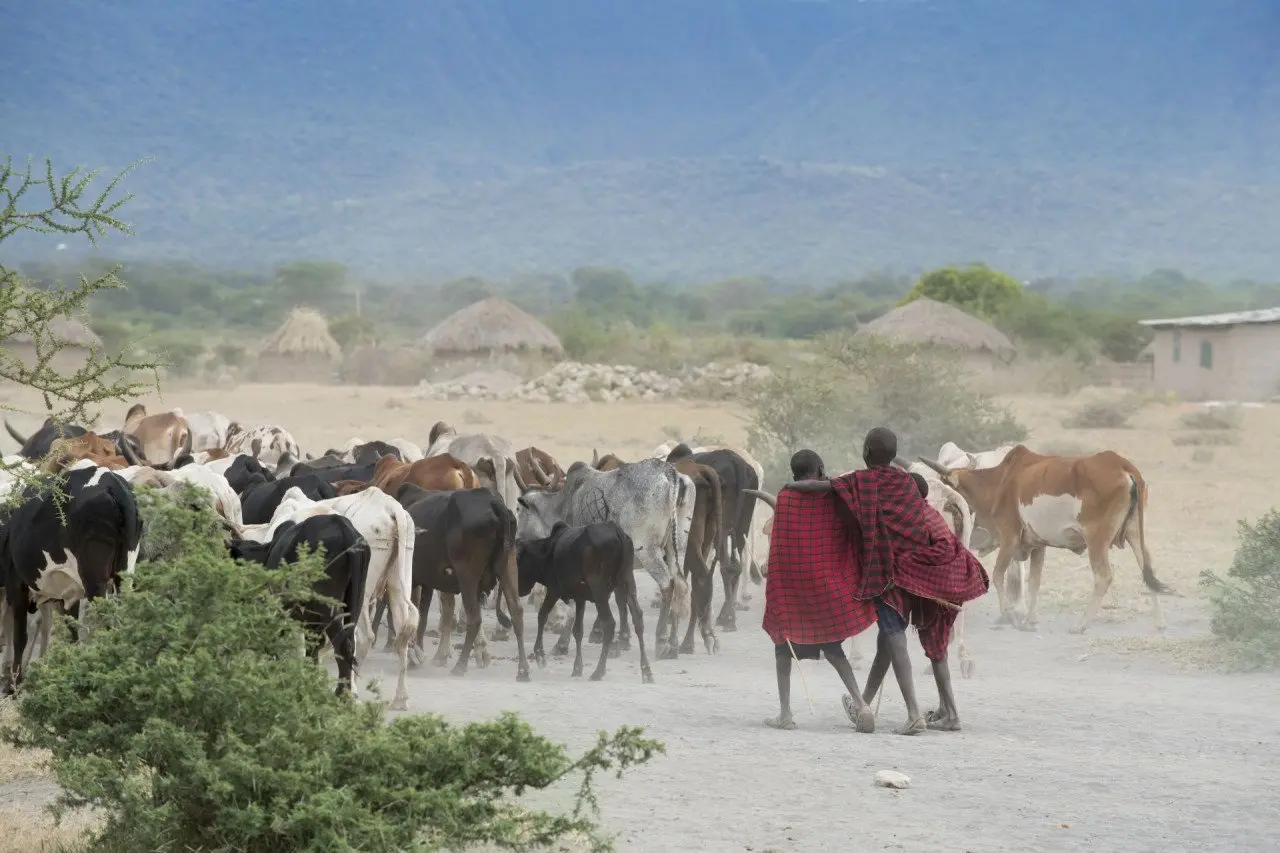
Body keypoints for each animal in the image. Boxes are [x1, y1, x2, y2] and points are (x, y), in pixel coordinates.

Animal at [0, 461, 140, 686]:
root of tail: (111, 483)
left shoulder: (16, 585)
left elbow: (19, 636)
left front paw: (14, 684)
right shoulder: (66, 594)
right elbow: (71, 631)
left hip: (95, 580)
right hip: (125, 572)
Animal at [921, 445, 1172, 630]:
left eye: (946, 487)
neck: (1001, 480)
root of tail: (1120, 464)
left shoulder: (1009, 538)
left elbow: (999, 575)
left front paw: (1009, 615)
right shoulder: (1038, 545)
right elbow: (1034, 581)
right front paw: (1030, 621)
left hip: (1096, 540)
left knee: (1104, 577)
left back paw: (1081, 624)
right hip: (1135, 534)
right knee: (1147, 568)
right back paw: (1159, 621)